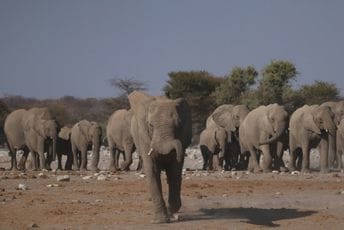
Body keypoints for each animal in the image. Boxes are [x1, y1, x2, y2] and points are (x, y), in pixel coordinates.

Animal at [128, 90, 194, 224]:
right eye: (150, 125)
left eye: (178, 125)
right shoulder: (144, 138)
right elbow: (152, 170)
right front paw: (160, 221)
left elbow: (175, 171)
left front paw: (172, 212)